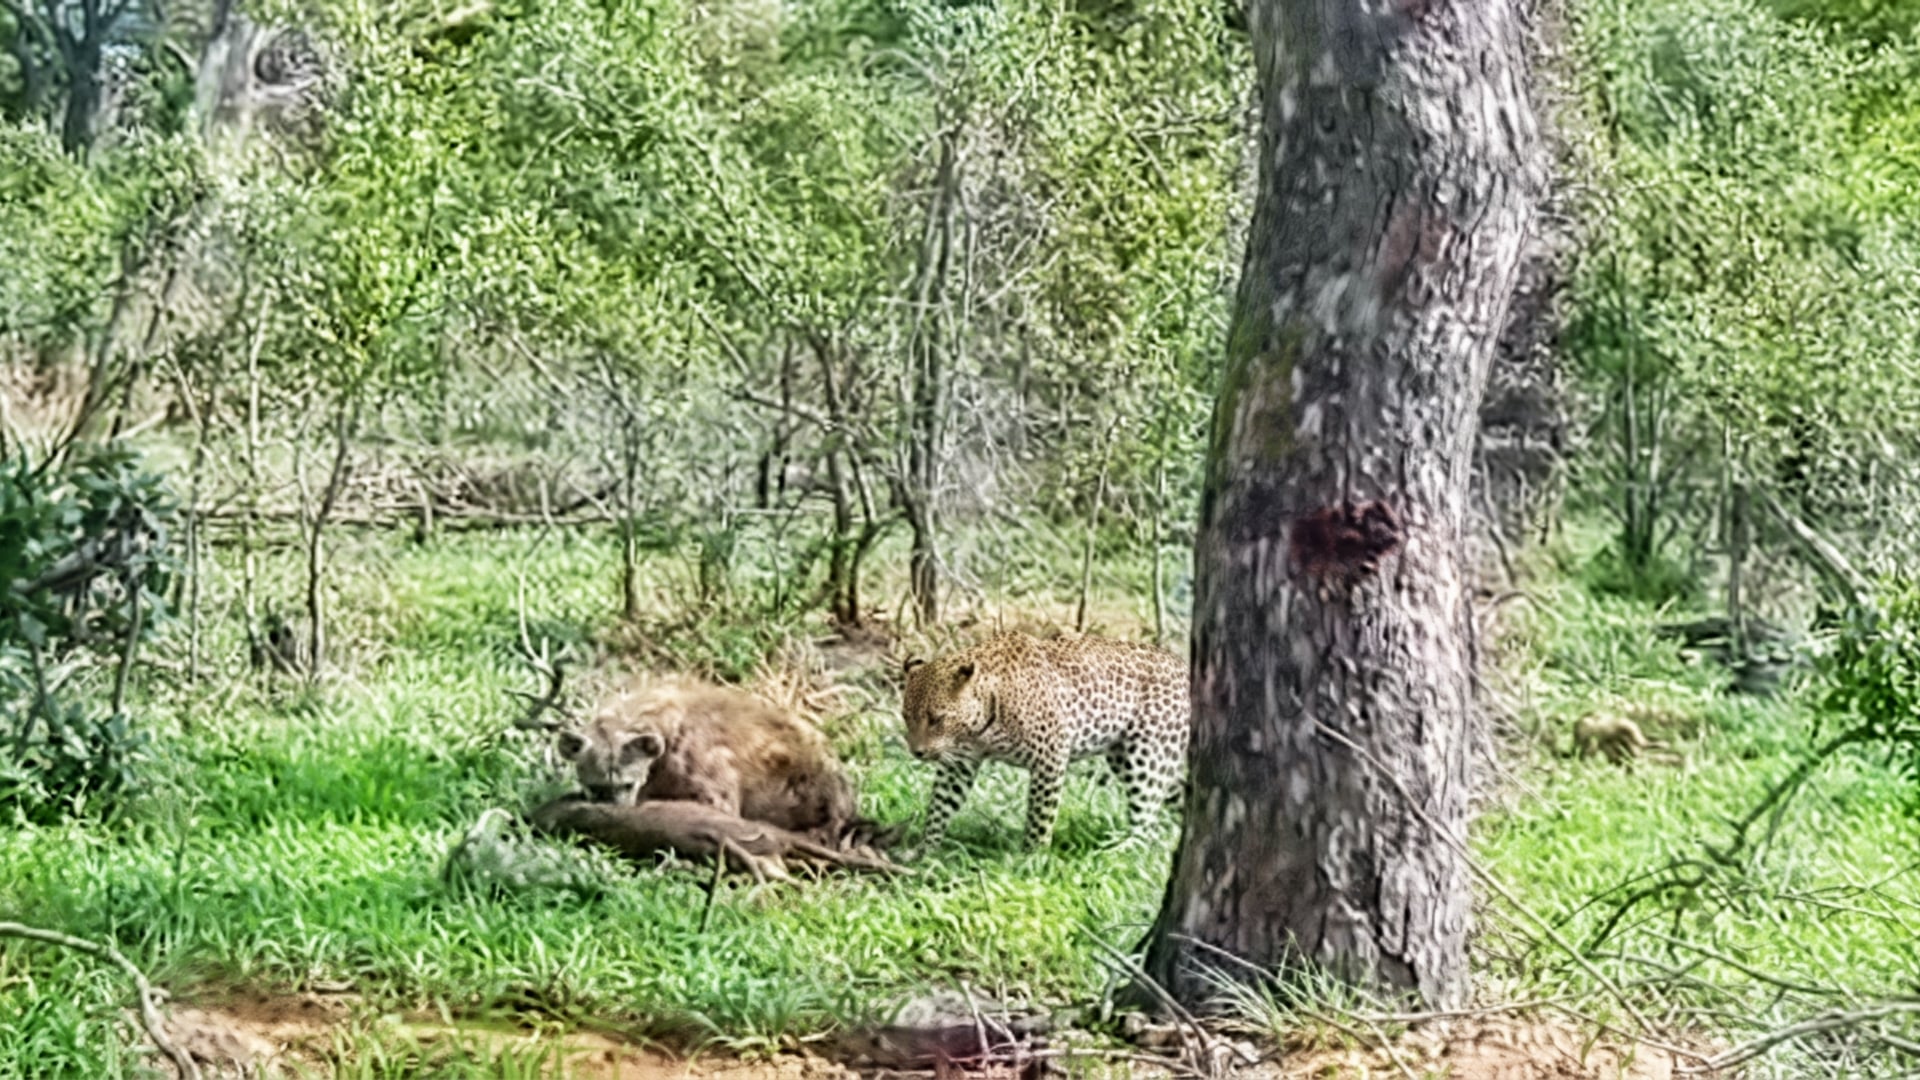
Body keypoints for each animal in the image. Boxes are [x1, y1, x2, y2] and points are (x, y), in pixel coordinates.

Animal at [900, 630, 1190, 852]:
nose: (917, 752)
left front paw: (1032, 858)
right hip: (1133, 756)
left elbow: (1040, 816)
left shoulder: (1051, 756)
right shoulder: (959, 763)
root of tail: (1183, 665)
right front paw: (925, 850)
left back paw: (1120, 850)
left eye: (936, 719)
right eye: (905, 716)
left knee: (1147, 821)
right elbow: (940, 805)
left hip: (1144, 755)